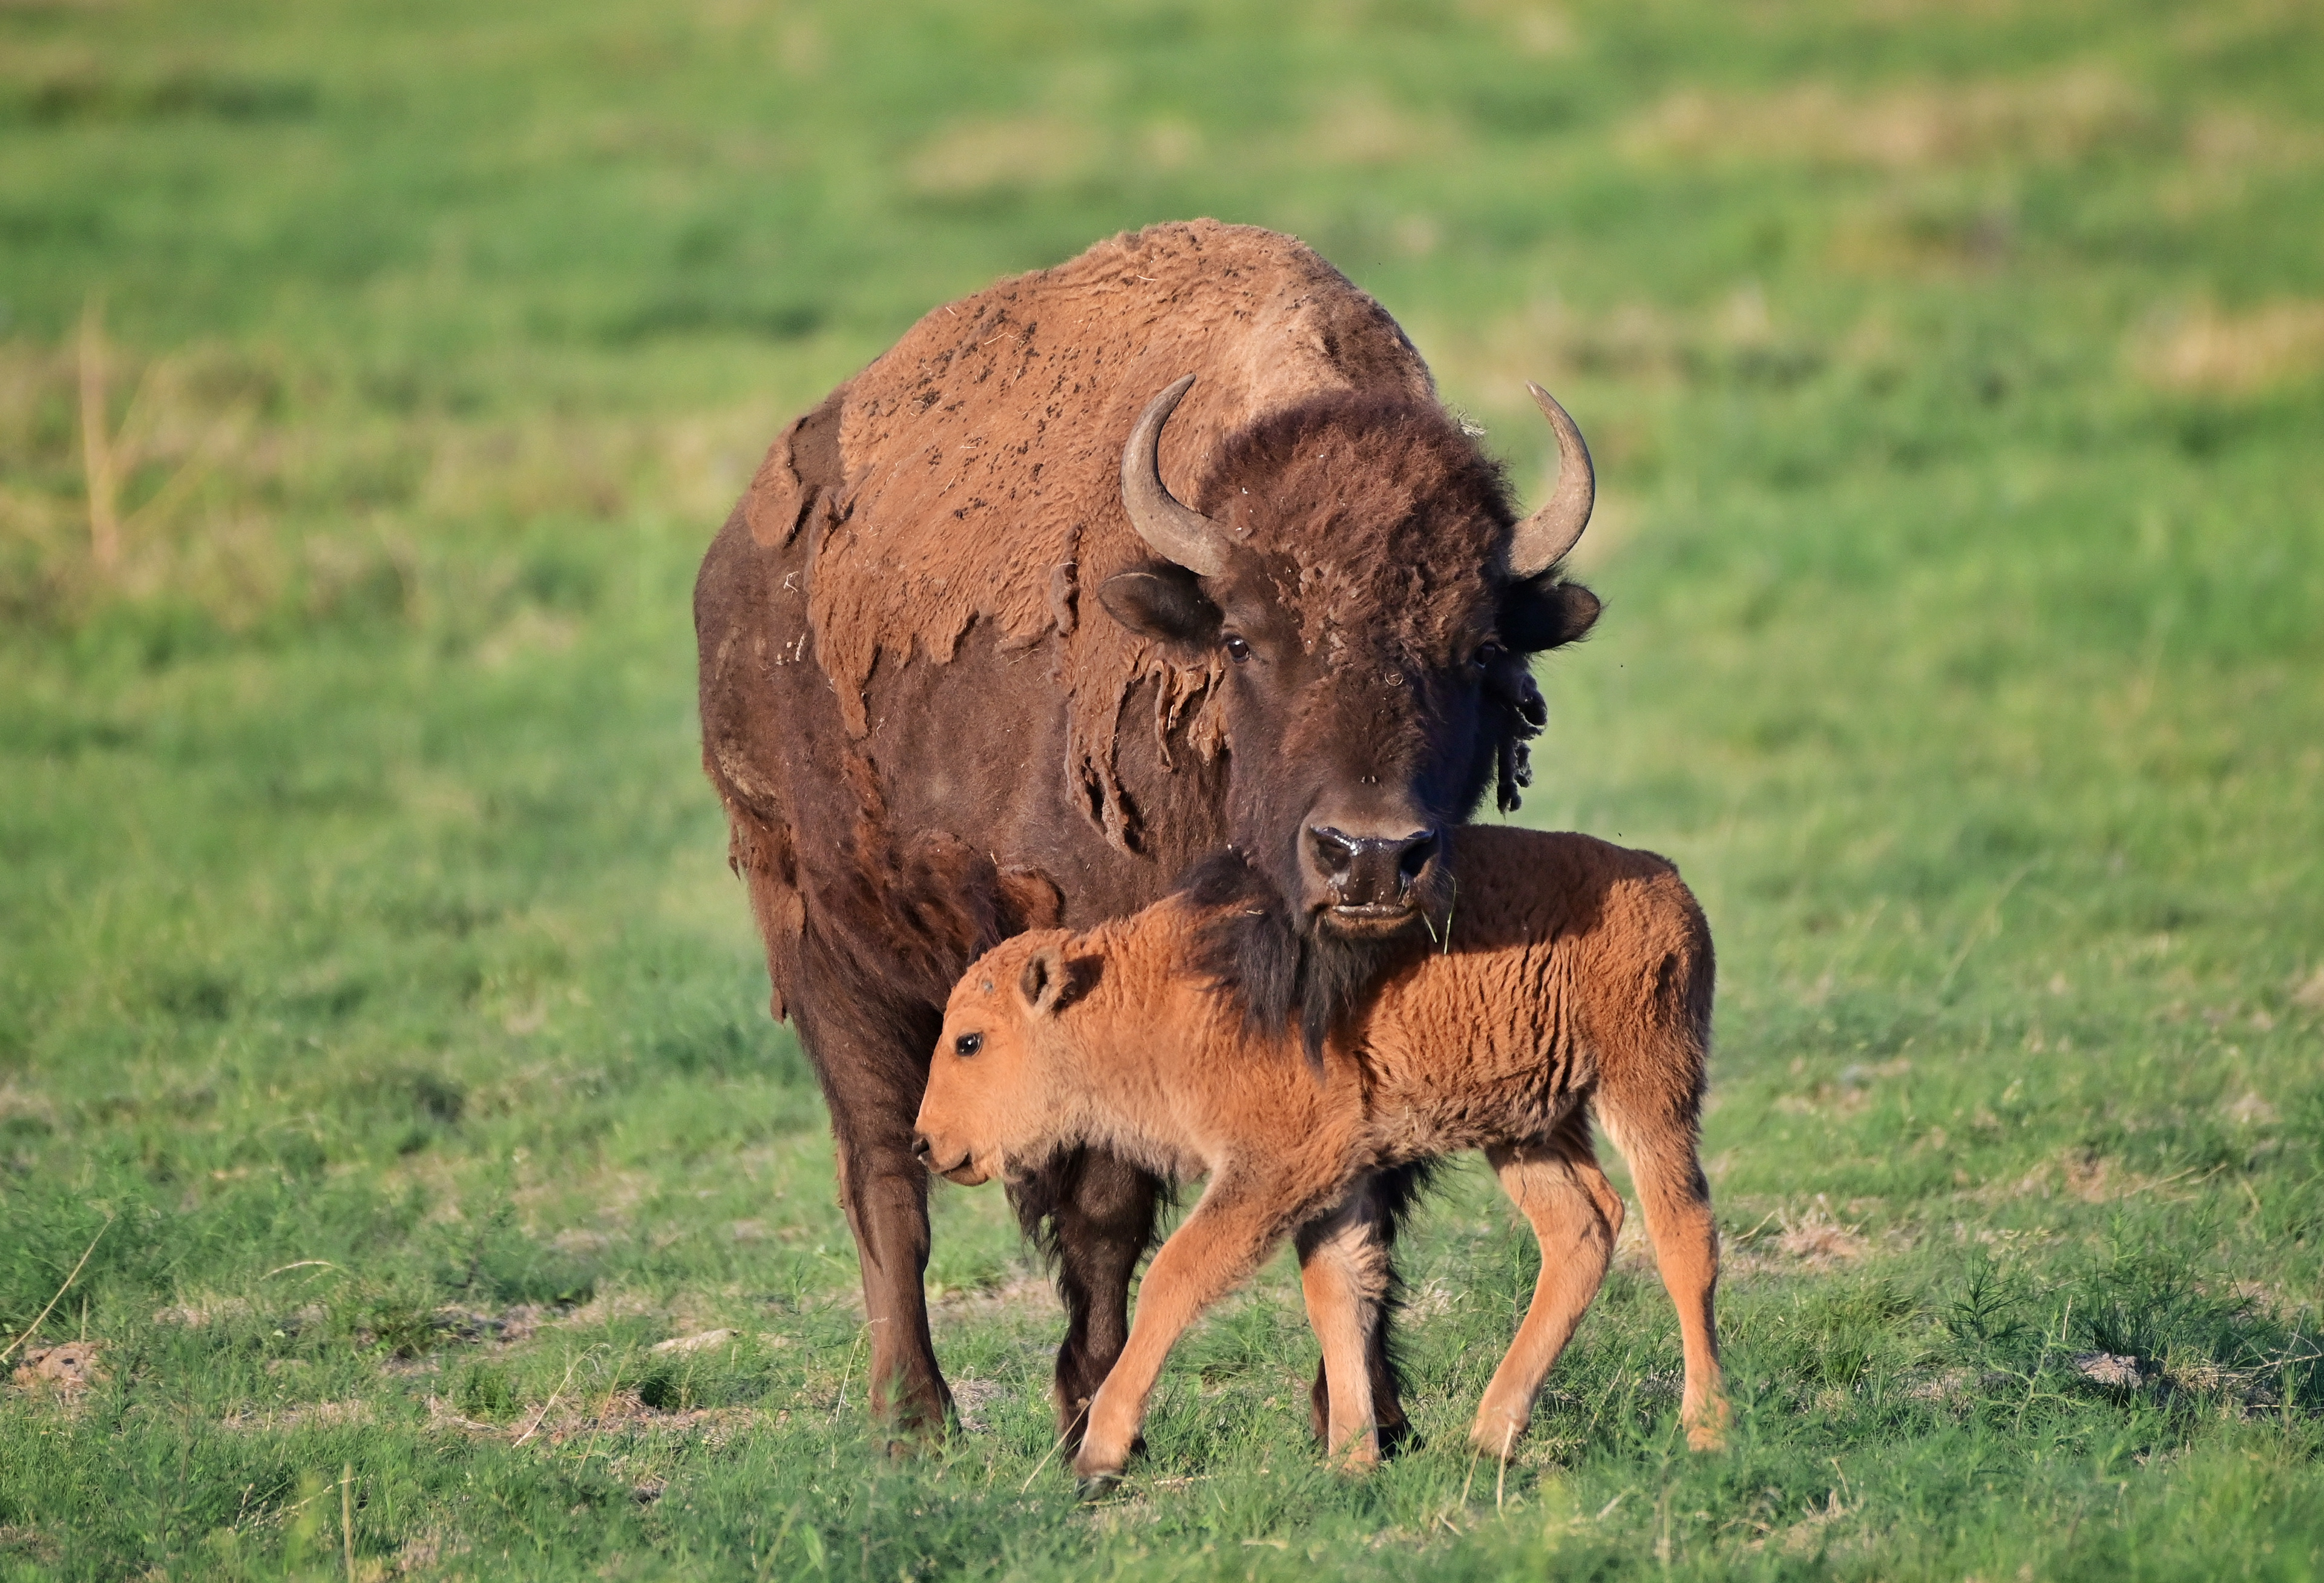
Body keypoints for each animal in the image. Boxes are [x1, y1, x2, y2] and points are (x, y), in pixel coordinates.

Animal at [694, 219, 1603, 1445]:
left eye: (1477, 649)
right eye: (1246, 639)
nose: (1369, 856)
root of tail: (743, 556)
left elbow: (1360, 1194)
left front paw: (1369, 1411)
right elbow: (1104, 1201)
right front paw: (1091, 1401)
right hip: (819, 939)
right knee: (886, 1176)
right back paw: (916, 1415)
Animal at [914, 825, 1727, 1489]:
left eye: (970, 1040)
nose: (924, 1142)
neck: (1144, 992)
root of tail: (1667, 883)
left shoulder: (1274, 1166)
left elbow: (1177, 1274)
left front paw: (1098, 1456)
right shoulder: (1335, 1176)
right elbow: (1337, 1290)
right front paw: (1351, 1459)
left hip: (1646, 1084)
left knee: (1681, 1229)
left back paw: (1704, 1428)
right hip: (1527, 1128)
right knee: (1583, 1228)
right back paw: (1490, 1435)